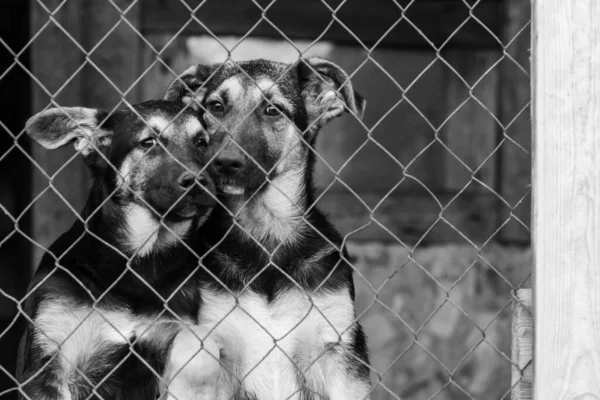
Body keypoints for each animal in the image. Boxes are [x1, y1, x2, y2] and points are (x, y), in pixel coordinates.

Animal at [17, 101, 223, 400]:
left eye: (201, 142)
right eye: (148, 142)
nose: (198, 181)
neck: (138, 263)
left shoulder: (168, 329)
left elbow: (197, 346)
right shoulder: (48, 364)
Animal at [164, 57, 370, 400]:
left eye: (273, 110)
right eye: (216, 106)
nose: (224, 163)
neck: (266, 231)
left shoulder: (341, 351)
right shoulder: (210, 347)